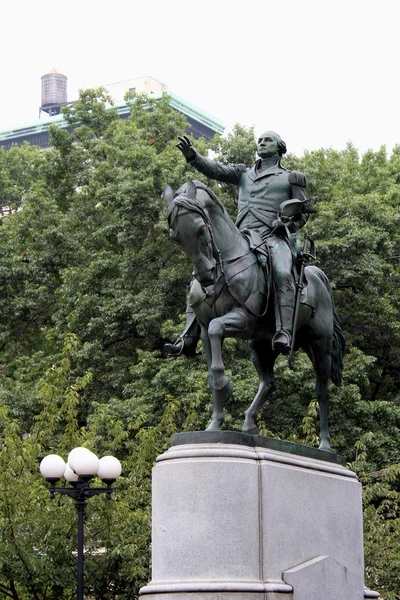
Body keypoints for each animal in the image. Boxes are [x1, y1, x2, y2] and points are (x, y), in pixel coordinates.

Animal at [164, 178, 346, 450]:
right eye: (176, 238)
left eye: (200, 229)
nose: (205, 276)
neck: (228, 262)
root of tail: (317, 275)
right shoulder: (205, 330)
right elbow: (212, 369)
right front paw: (214, 425)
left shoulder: (244, 318)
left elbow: (218, 329)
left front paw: (226, 387)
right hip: (261, 344)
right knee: (268, 382)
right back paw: (249, 423)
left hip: (319, 346)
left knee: (322, 390)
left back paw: (325, 446)